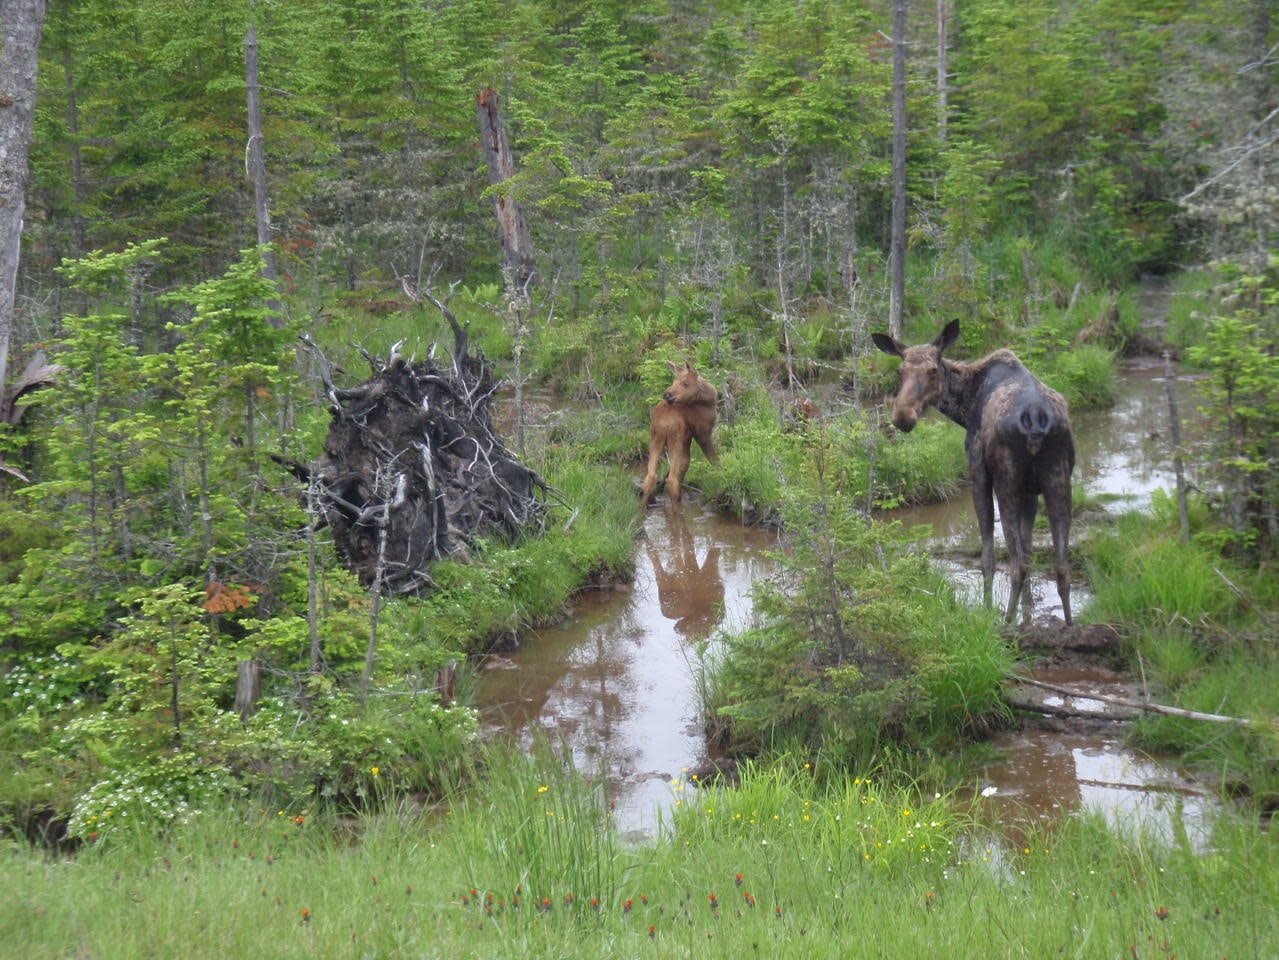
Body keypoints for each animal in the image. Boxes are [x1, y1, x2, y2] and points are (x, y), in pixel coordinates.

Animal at [639, 360, 721, 506]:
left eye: (685, 383)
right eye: (674, 381)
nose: (666, 394)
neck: (709, 400)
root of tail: (663, 423)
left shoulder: (687, 437)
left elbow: (685, 464)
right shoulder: (702, 433)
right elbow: (714, 459)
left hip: (656, 439)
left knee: (650, 476)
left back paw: (643, 506)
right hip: (675, 440)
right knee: (671, 479)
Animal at [874, 319, 1074, 626]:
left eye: (933, 370)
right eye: (900, 371)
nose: (902, 416)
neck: (965, 408)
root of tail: (1036, 419)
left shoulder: (978, 474)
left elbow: (988, 557)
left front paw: (988, 611)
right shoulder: (1031, 492)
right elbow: (1030, 548)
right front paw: (1028, 616)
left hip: (1006, 483)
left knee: (1016, 563)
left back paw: (1006, 624)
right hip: (1060, 482)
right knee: (1061, 566)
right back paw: (1070, 626)